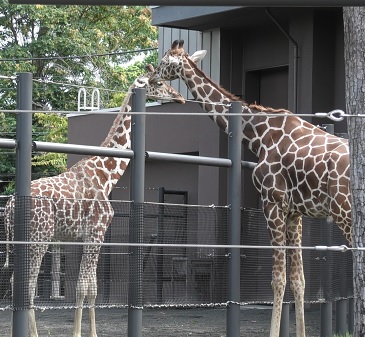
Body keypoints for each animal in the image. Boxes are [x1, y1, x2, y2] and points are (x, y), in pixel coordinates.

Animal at [2, 65, 185, 336]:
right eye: (159, 82)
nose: (179, 97)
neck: (106, 176)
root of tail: (9, 205)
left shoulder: (88, 236)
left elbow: (93, 287)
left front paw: (91, 332)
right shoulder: (96, 232)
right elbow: (84, 287)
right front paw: (79, 333)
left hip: (23, 240)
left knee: (19, 281)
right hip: (38, 238)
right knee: (26, 282)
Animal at [149, 40, 352, 336]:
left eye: (165, 61)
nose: (152, 75)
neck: (257, 134)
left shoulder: (273, 203)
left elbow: (277, 280)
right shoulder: (295, 213)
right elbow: (298, 280)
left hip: (344, 212)